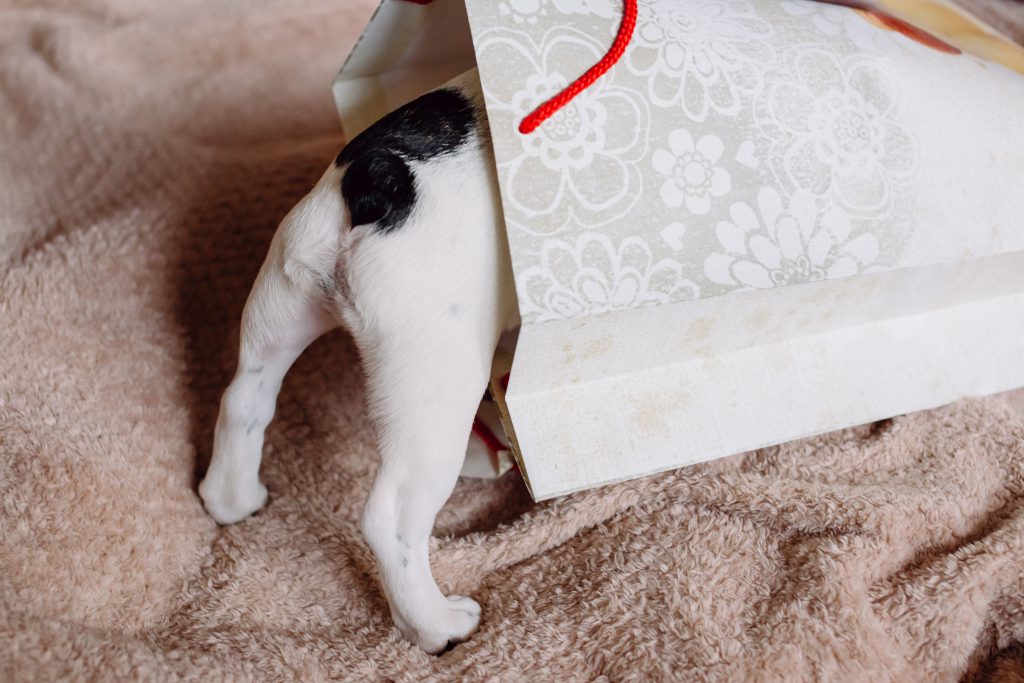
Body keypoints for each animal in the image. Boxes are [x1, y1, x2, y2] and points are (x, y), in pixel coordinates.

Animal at [197, 70, 520, 655]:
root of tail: (377, 182)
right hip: (438, 381)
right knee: (392, 518)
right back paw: (436, 625)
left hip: (279, 307)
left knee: (242, 401)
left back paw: (232, 499)